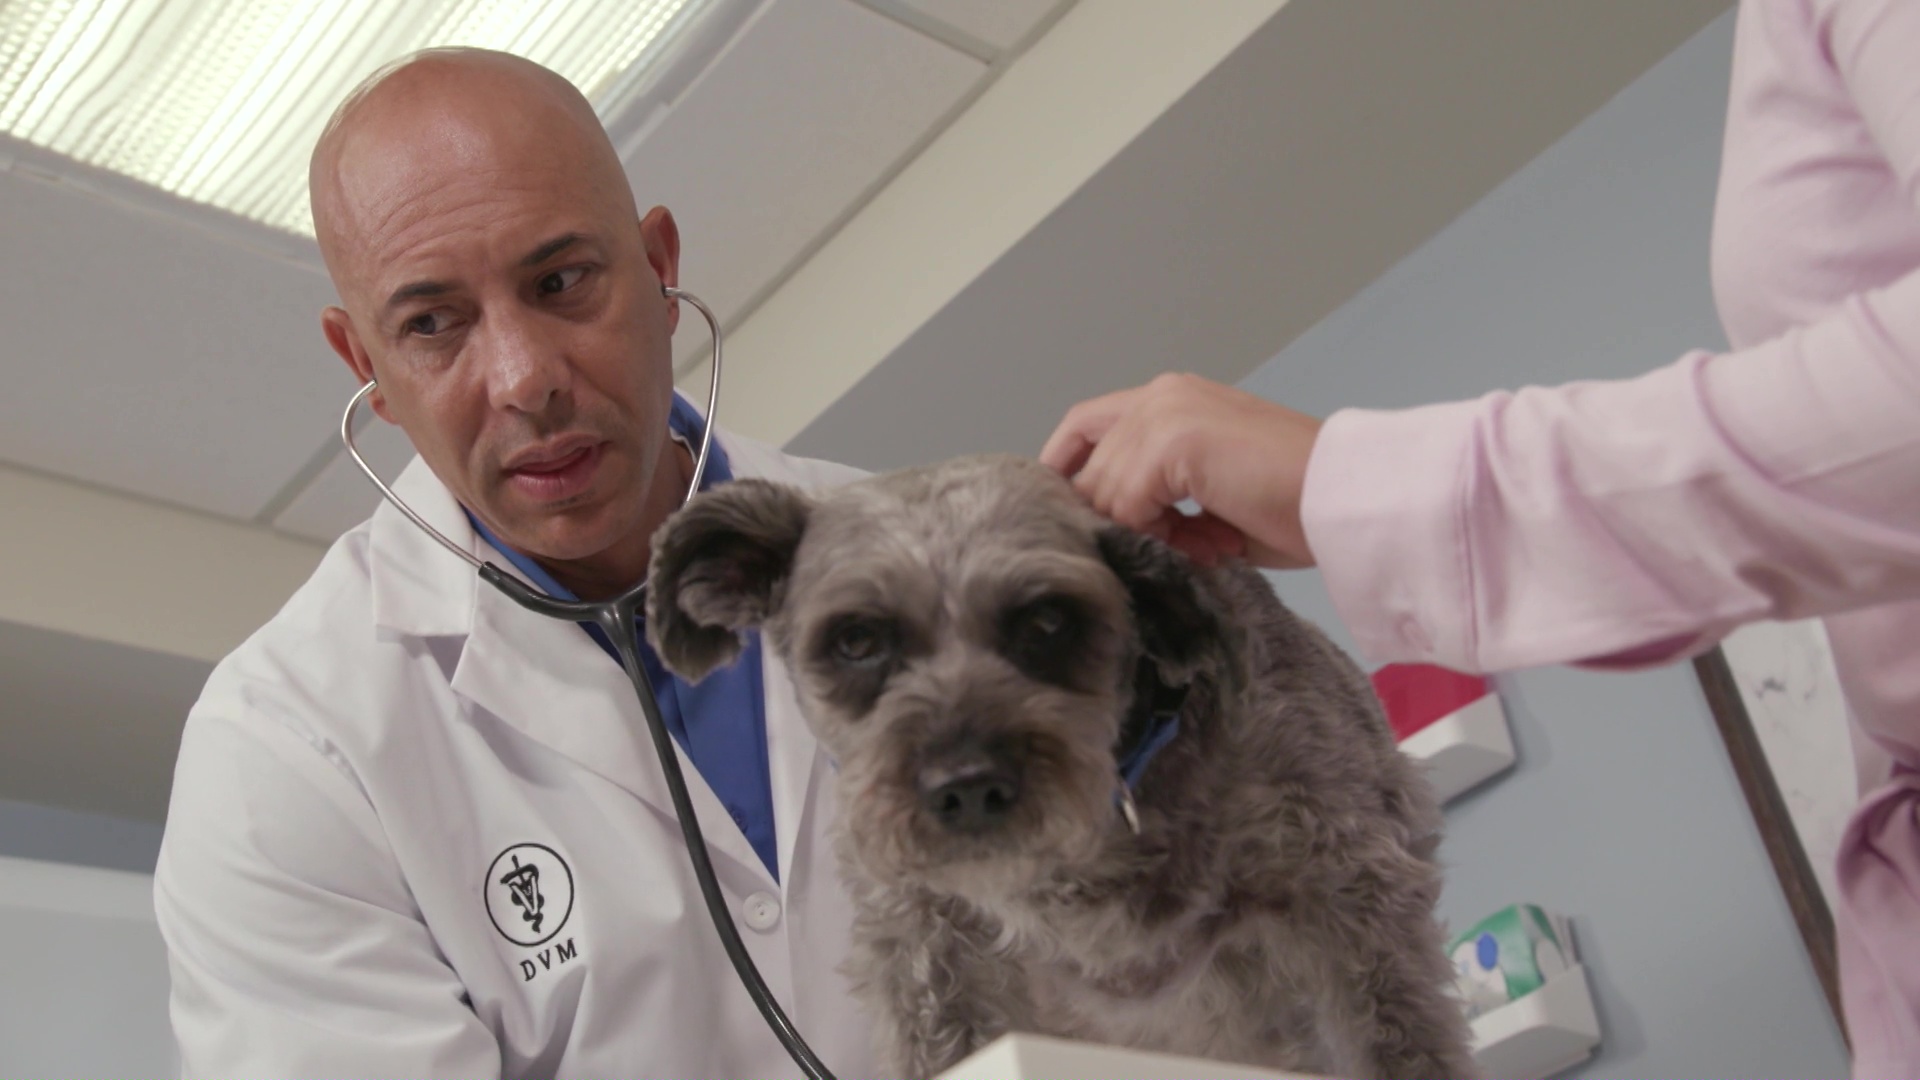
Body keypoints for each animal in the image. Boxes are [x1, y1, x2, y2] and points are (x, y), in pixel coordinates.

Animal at [647, 455, 1476, 1080]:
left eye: (1047, 621)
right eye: (856, 640)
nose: (968, 788)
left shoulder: (1351, 902)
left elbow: (1398, 1043)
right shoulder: (931, 961)